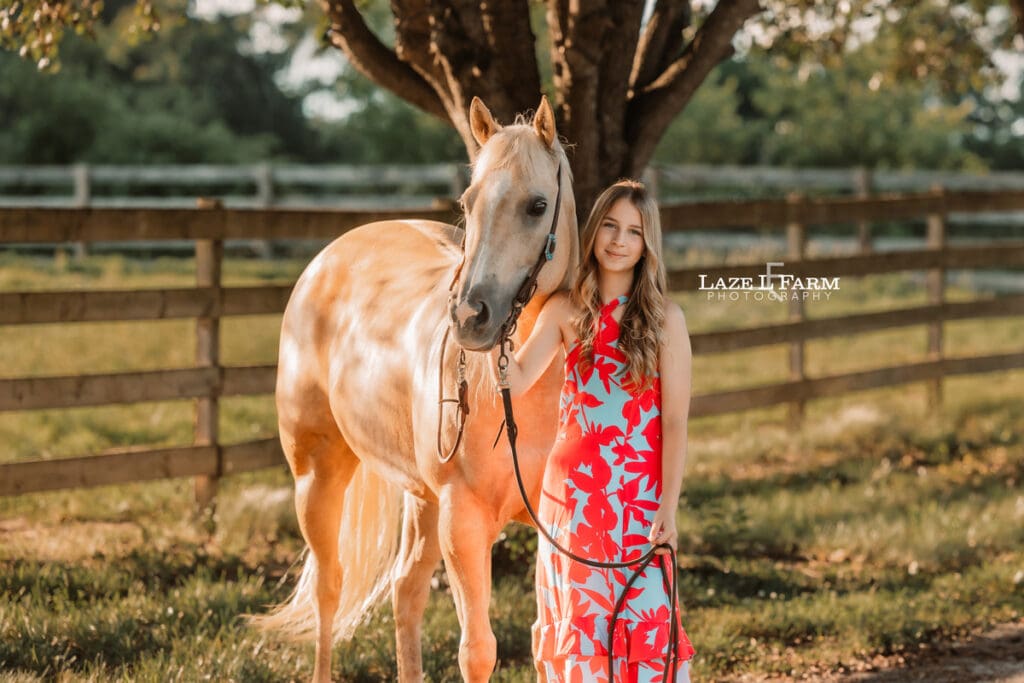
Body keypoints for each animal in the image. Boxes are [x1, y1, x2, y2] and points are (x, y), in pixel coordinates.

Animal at [255, 95, 580, 682]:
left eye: (537, 205)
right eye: (469, 201)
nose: (471, 316)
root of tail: (328, 258)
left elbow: (551, 640)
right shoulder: (463, 521)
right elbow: (477, 650)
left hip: (421, 498)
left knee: (405, 591)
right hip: (317, 478)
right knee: (329, 589)